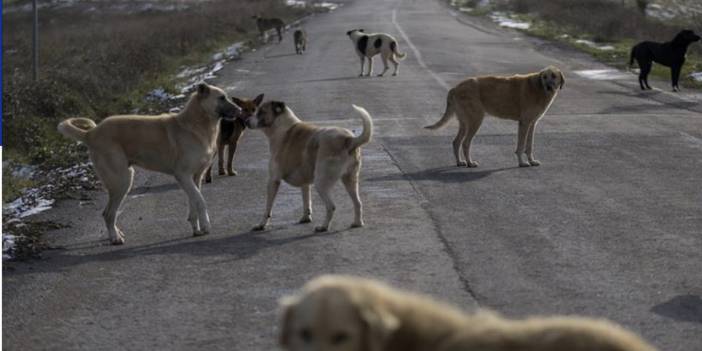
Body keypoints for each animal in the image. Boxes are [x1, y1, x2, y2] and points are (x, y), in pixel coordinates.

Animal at [56, 84, 242, 246]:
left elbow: (194, 201)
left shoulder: (195, 178)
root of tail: (90, 133)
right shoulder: (183, 175)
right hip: (122, 181)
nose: (240, 110)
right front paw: (206, 225)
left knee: (110, 213)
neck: (196, 124)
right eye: (221, 98)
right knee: (108, 213)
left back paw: (117, 233)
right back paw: (115, 238)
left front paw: (197, 228)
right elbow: (201, 201)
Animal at [242, 102, 374, 234]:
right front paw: (306, 217)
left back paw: (323, 227)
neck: (281, 126)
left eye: (261, 112)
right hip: (350, 180)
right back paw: (357, 223)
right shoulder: (305, 182)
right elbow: (306, 200)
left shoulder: (273, 180)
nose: (246, 121)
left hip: (321, 183)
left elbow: (268, 208)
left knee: (331, 206)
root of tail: (348, 139)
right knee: (358, 203)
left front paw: (261, 225)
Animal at [424, 67, 568, 169]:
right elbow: (521, 146)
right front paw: (522, 163)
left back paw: (460, 162)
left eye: (554, 76)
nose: (548, 86)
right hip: (475, 120)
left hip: (465, 122)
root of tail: (455, 88)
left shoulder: (532, 124)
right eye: (544, 77)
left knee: (456, 142)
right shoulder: (524, 123)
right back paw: (470, 163)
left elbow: (529, 145)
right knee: (465, 143)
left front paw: (532, 161)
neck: (538, 88)